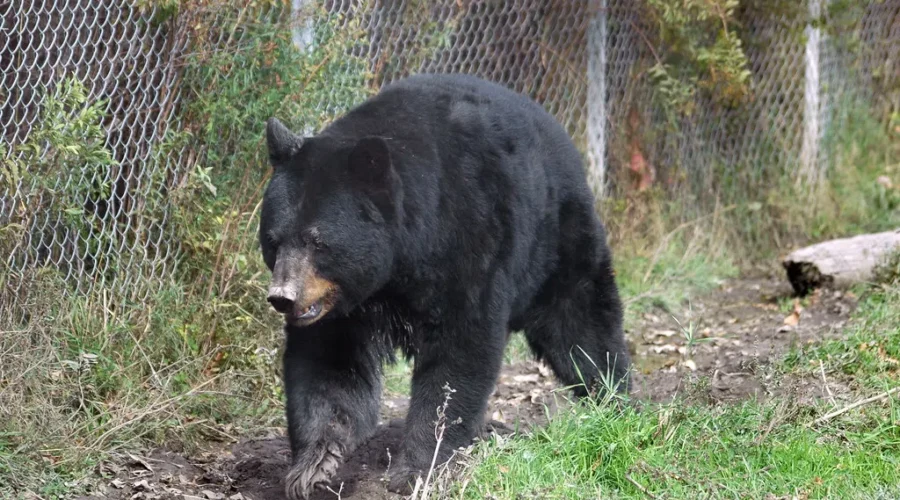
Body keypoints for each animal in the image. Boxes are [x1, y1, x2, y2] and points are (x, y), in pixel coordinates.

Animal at [259, 73, 631, 499]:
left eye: (318, 242)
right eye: (273, 240)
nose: (283, 297)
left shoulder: (470, 242)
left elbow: (458, 356)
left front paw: (418, 468)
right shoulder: (340, 306)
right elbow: (329, 366)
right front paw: (313, 468)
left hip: (556, 238)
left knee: (582, 323)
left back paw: (615, 398)